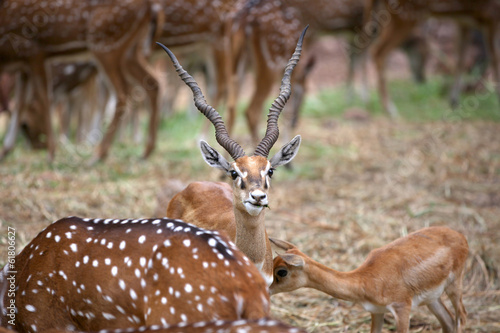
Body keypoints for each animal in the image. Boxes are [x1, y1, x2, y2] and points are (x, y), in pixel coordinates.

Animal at [0, 0, 159, 161]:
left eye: (25, 125)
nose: (39, 146)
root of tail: (150, 6)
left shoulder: (34, 51)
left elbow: (44, 99)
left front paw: (51, 154)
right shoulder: (23, 64)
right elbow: (20, 104)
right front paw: (5, 150)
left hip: (106, 42)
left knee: (122, 92)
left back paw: (98, 154)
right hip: (130, 50)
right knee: (152, 82)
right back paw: (145, 151)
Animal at [270, 226, 468, 332]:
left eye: (282, 271)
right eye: (272, 261)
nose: (267, 288)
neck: (365, 281)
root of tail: (461, 236)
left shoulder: (402, 307)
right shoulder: (377, 311)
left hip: (455, 284)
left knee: (462, 317)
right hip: (432, 298)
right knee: (449, 321)